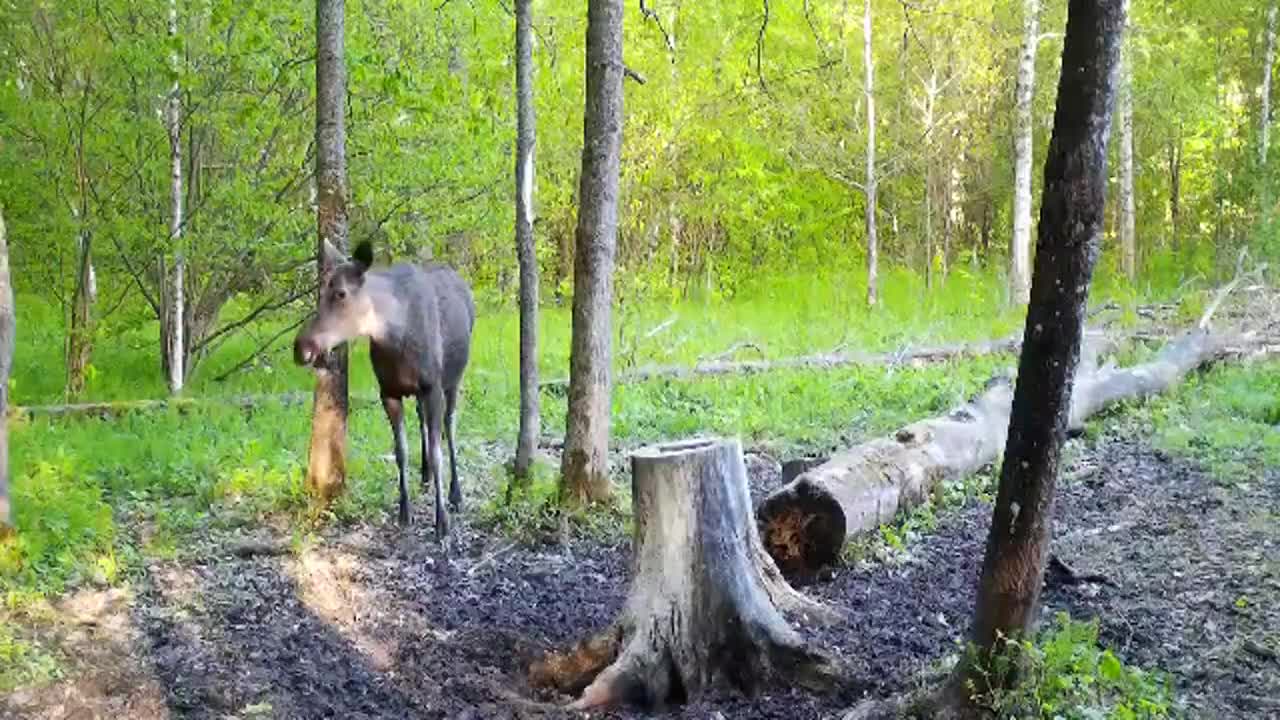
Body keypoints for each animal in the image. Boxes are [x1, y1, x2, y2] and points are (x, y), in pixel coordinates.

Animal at [293, 238, 476, 535]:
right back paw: (425, 476)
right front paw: (404, 511)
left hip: (453, 380)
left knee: (450, 426)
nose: (301, 348)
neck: (393, 336)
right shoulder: (388, 392)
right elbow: (400, 451)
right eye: (320, 292)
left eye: (341, 293)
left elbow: (437, 451)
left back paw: (455, 493)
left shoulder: (432, 387)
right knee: (422, 421)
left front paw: (442, 521)